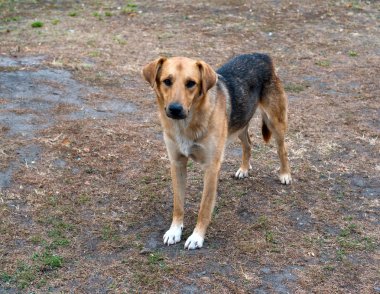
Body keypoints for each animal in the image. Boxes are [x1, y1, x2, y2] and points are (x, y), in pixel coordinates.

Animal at [142, 54, 290, 249]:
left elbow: (204, 208)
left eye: (191, 83)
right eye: (167, 81)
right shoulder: (177, 163)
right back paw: (244, 169)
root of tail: (263, 56)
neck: (187, 124)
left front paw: (197, 237)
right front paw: (175, 230)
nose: (174, 109)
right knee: (248, 144)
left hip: (275, 123)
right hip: (239, 124)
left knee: (282, 150)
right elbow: (178, 203)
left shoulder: (211, 168)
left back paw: (285, 174)